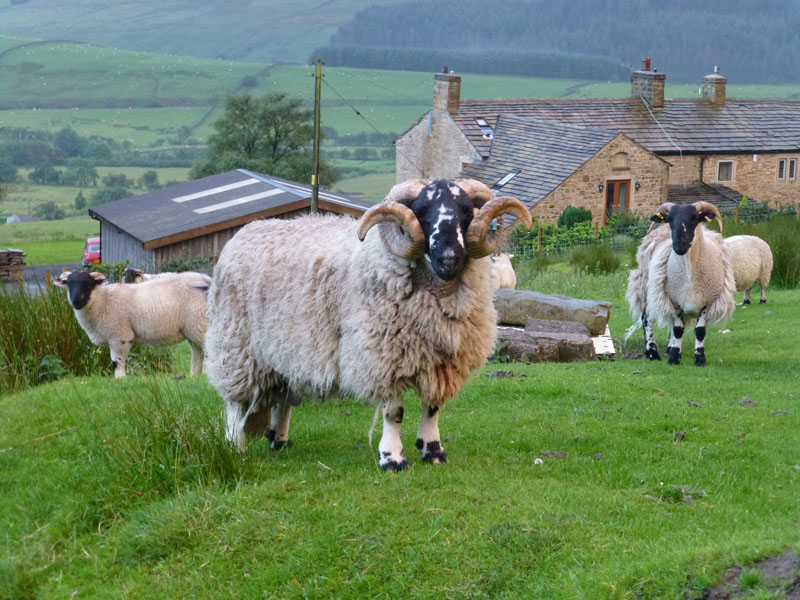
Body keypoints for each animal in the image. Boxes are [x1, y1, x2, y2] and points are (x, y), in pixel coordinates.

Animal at [56, 270, 212, 376]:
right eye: (69, 284)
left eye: (88, 284)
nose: (76, 302)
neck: (102, 300)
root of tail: (207, 280)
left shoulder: (119, 335)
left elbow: (117, 361)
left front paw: (120, 378)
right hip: (192, 327)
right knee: (197, 350)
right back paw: (194, 375)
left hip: (200, 320)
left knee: (207, 349)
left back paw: (205, 374)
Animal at [205, 177, 532, 468]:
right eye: (421, 211)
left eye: (466, 211)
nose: (450, 258)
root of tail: (247, 230)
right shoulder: (387, 356)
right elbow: (394, 413)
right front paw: (393, 458)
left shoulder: (440, 361)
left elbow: (432, 407)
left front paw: (433, 451)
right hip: (237, 346)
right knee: (236, 403)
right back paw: (235, 447)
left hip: (285, 348)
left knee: (283, 395)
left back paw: (279, 440)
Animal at [624, 203, 736, 366]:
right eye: (670, 219)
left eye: (695, 218)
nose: (679, 245)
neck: (690, 276)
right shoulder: (674, 300)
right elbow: (678, 329)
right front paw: (674, 358)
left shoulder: (707, 302)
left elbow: (700, 331)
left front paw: (699, 358)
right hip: (648, 287)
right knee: (647, 318)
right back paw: (652, 352)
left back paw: (669, 347)